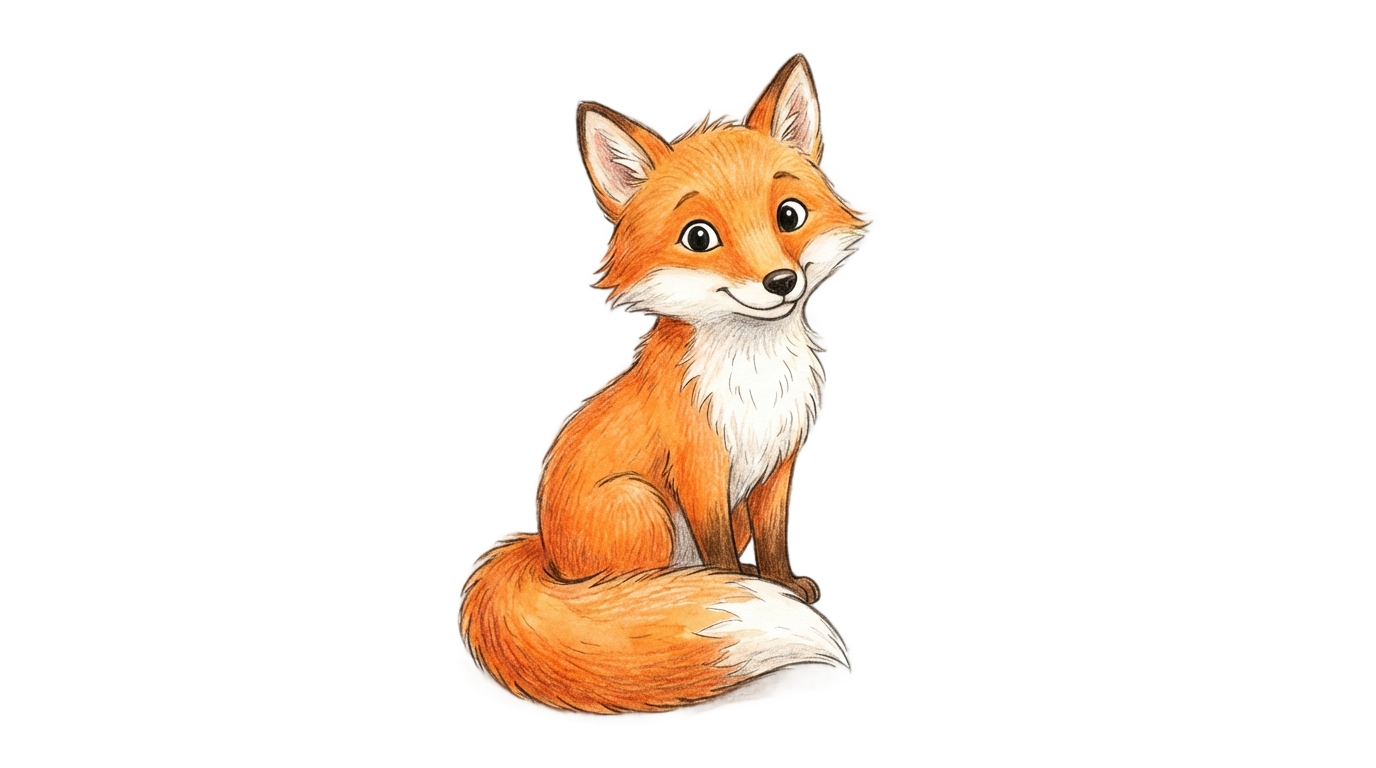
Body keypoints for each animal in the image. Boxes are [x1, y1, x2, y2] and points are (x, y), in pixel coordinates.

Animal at [458, 54, 866, 713]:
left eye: (789, 216)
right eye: (699, 237)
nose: (781, 282)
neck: (755, 381)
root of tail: (541, 546)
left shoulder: (779, 463)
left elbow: (773, 538)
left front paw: (781, 584)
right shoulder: (702, 467)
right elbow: (724, 555)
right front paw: (738, 588)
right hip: (641, 505)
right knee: (624, 588)